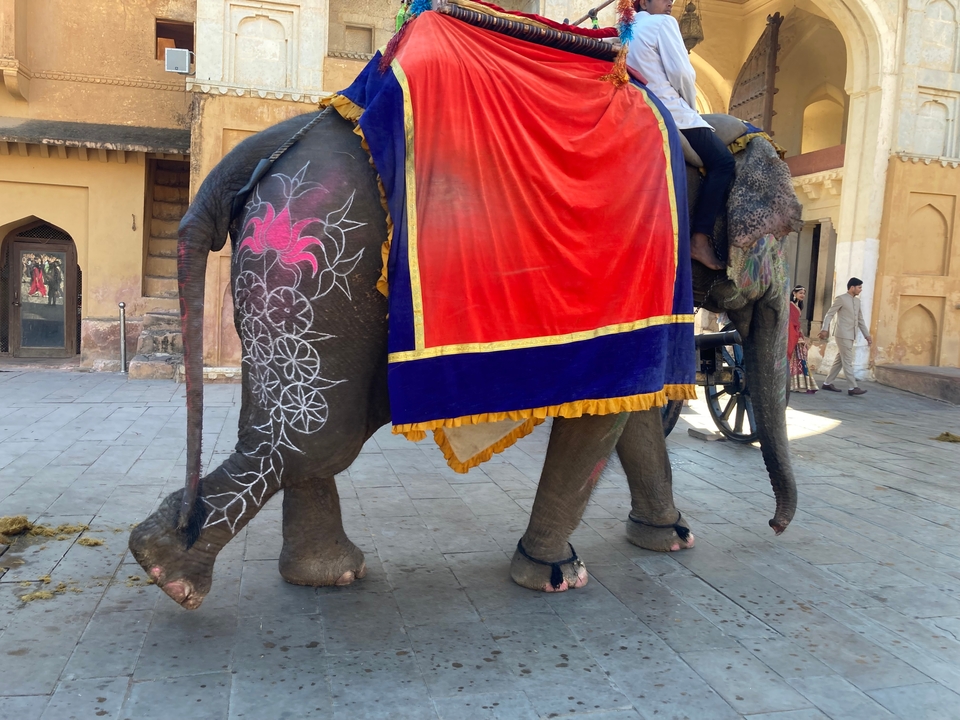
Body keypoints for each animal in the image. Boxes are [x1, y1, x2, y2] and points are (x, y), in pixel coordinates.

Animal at [128, 107, 800, 610]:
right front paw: (556, 576)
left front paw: (670, 540)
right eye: (789, 228)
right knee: (318, 437)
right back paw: (168, 570)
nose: (776, 528)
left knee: (307, 429)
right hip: (321, 270)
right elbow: (609, 407)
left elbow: (633, 405)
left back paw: (318, 574)